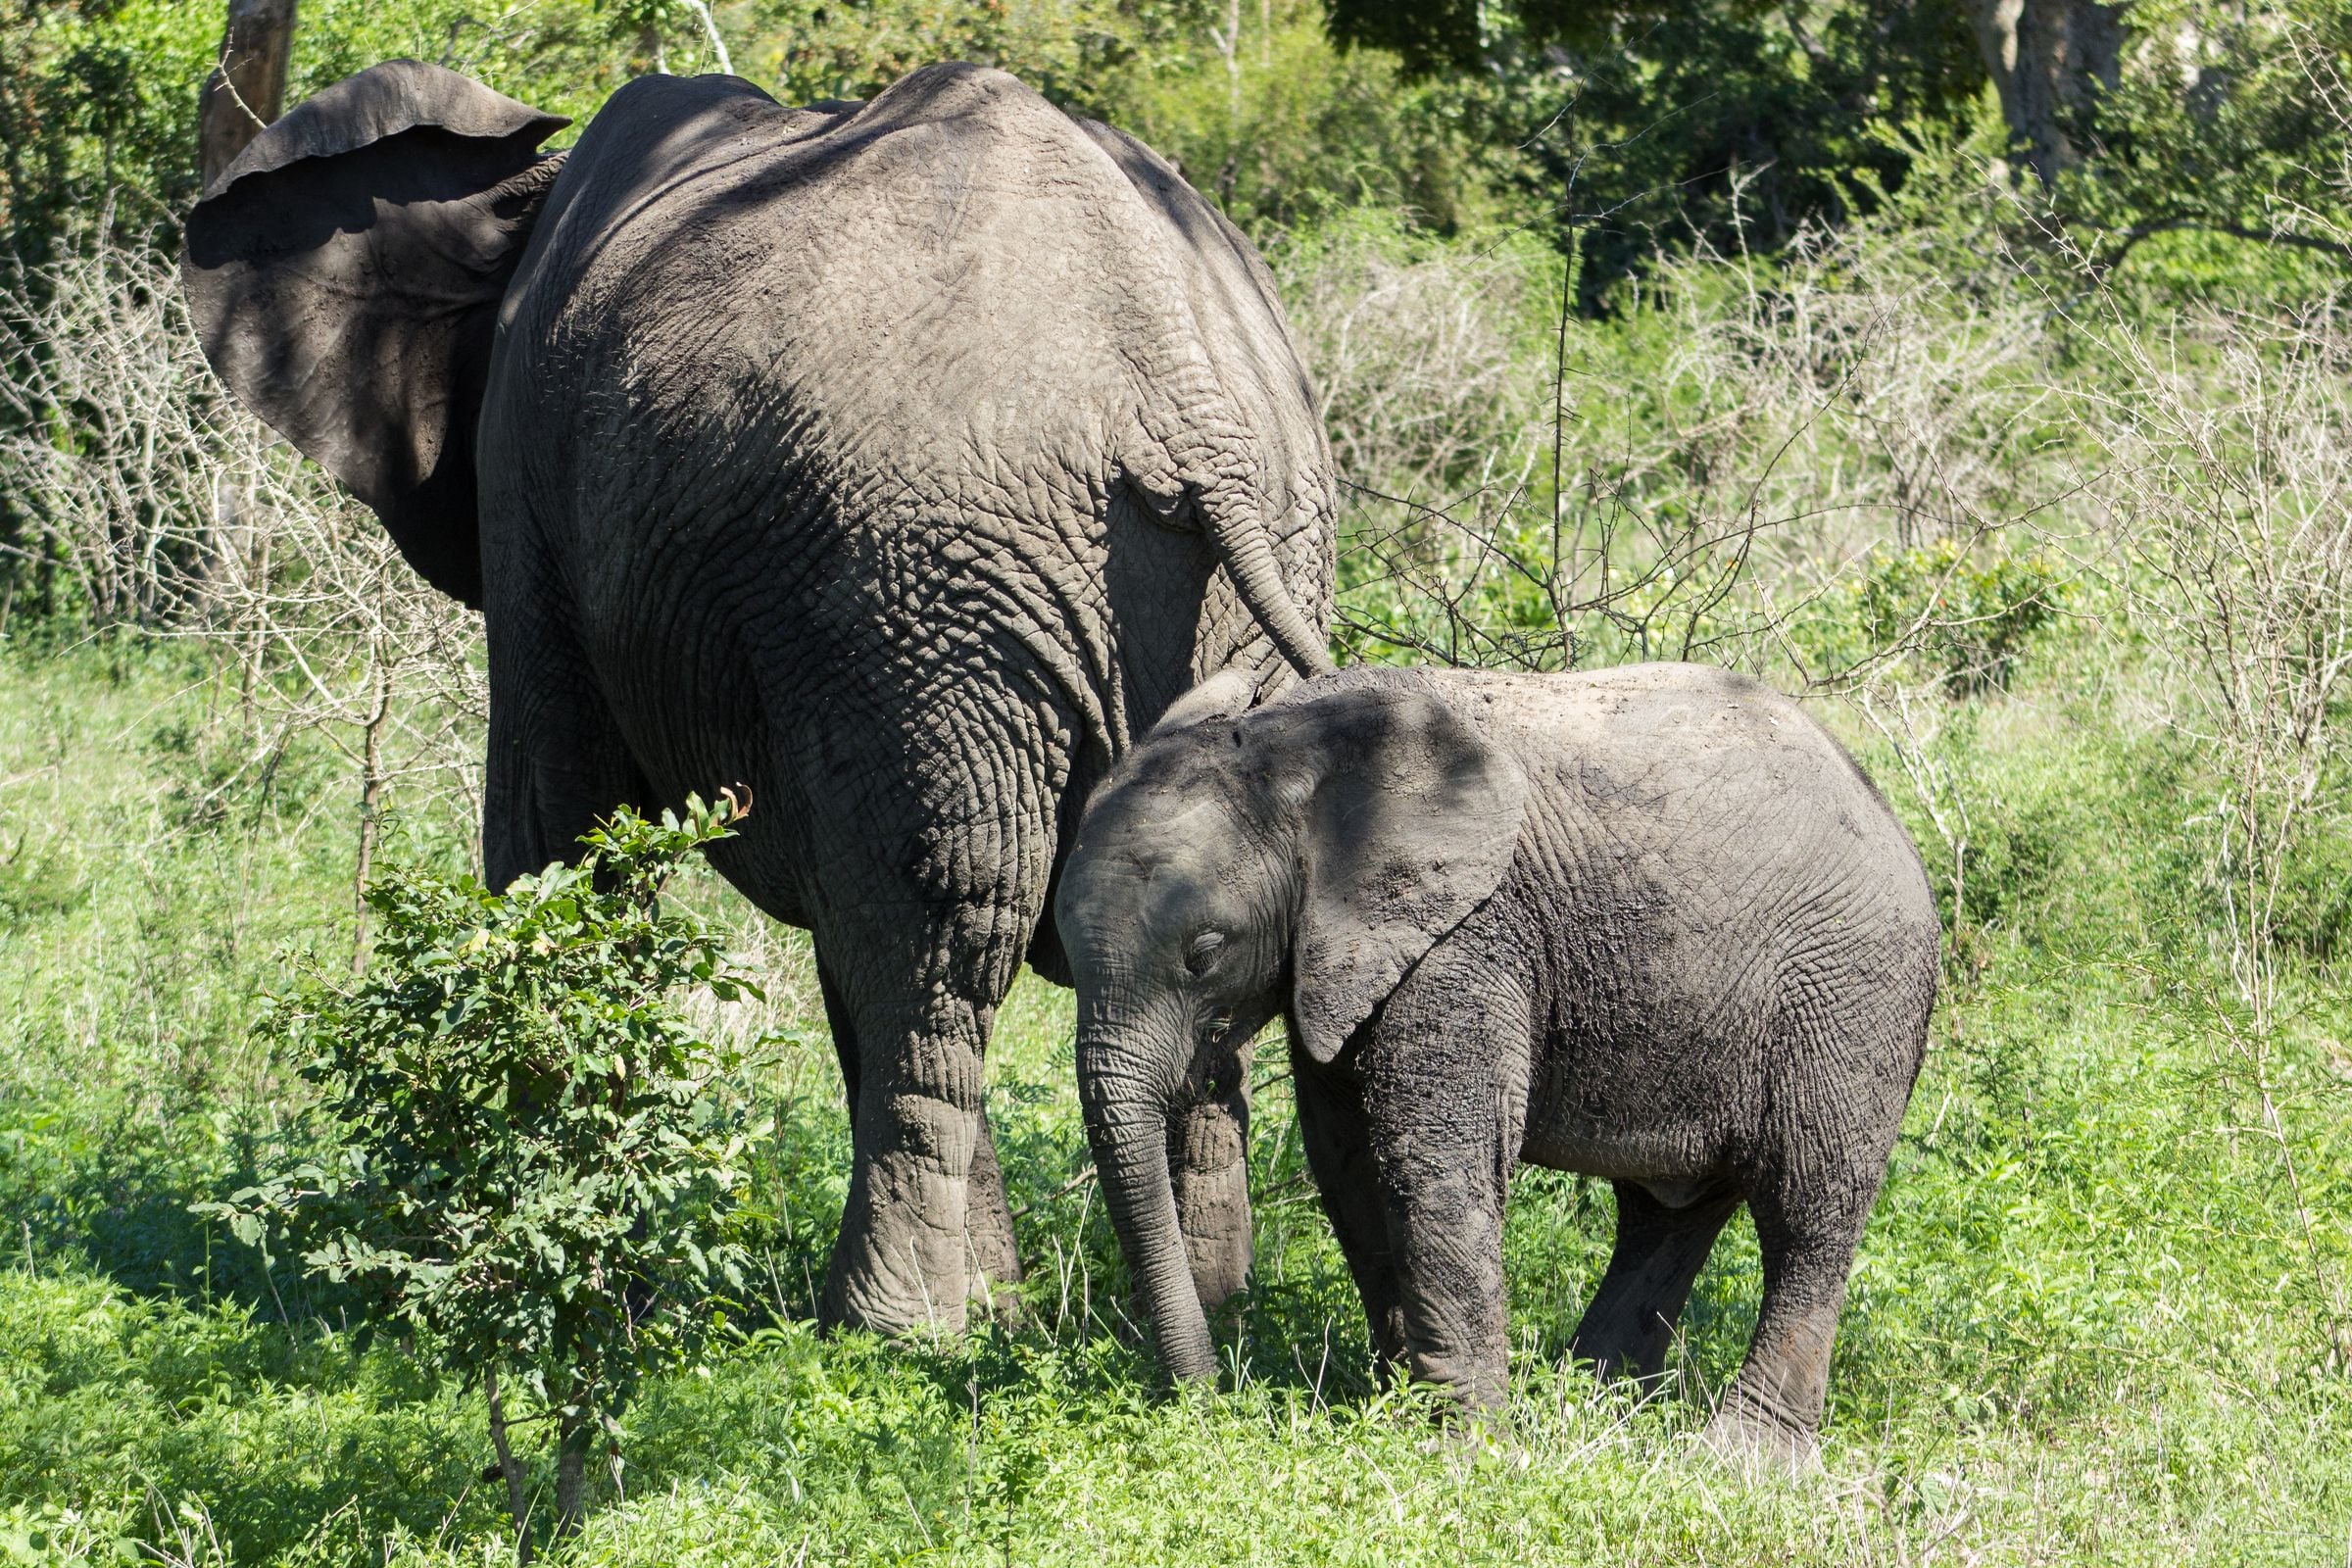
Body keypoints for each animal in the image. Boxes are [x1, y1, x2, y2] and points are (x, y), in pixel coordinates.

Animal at [181, 57, 1336, 1337]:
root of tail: (1179, 393)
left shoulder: (529, 489)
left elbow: (557, 843)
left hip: (913, 578)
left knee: (934, 924)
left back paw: (889, 1331)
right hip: (1201, 553)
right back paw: (1198, 1310)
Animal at [1054, 662, 1940, 1456]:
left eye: (1204, 953)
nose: (1207, 1405)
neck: (1294, 744)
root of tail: (1884, 807)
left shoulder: (1470, 934)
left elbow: (1432, 1155)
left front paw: (1460, 1453)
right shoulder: (1342, 957)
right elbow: (1347, 1162)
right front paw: (1399, 1412)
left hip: (1851, 994)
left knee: (1810, 1204)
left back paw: (1741, 1460)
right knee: (1667, 1216)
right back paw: (1588, 1408)